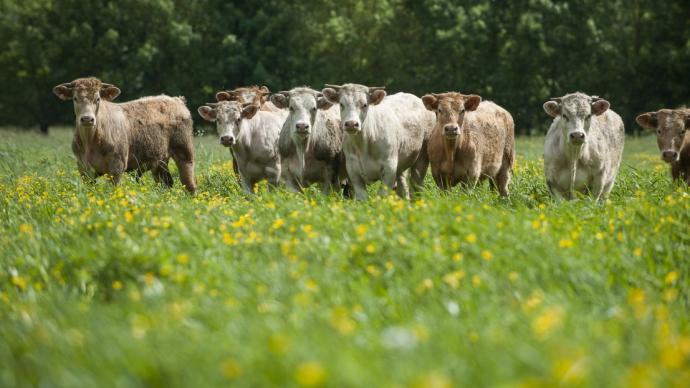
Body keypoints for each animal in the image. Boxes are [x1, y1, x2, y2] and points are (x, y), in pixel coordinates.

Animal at [51, 76, 194, 193]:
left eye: (98, 99)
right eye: (75, 98)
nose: (87, 119)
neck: (90, 142)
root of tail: (175, 99)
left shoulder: (116, 167)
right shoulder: (84, 169)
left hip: (184, 151)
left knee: (189, 182)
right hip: (159, 160)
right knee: (166, 183)